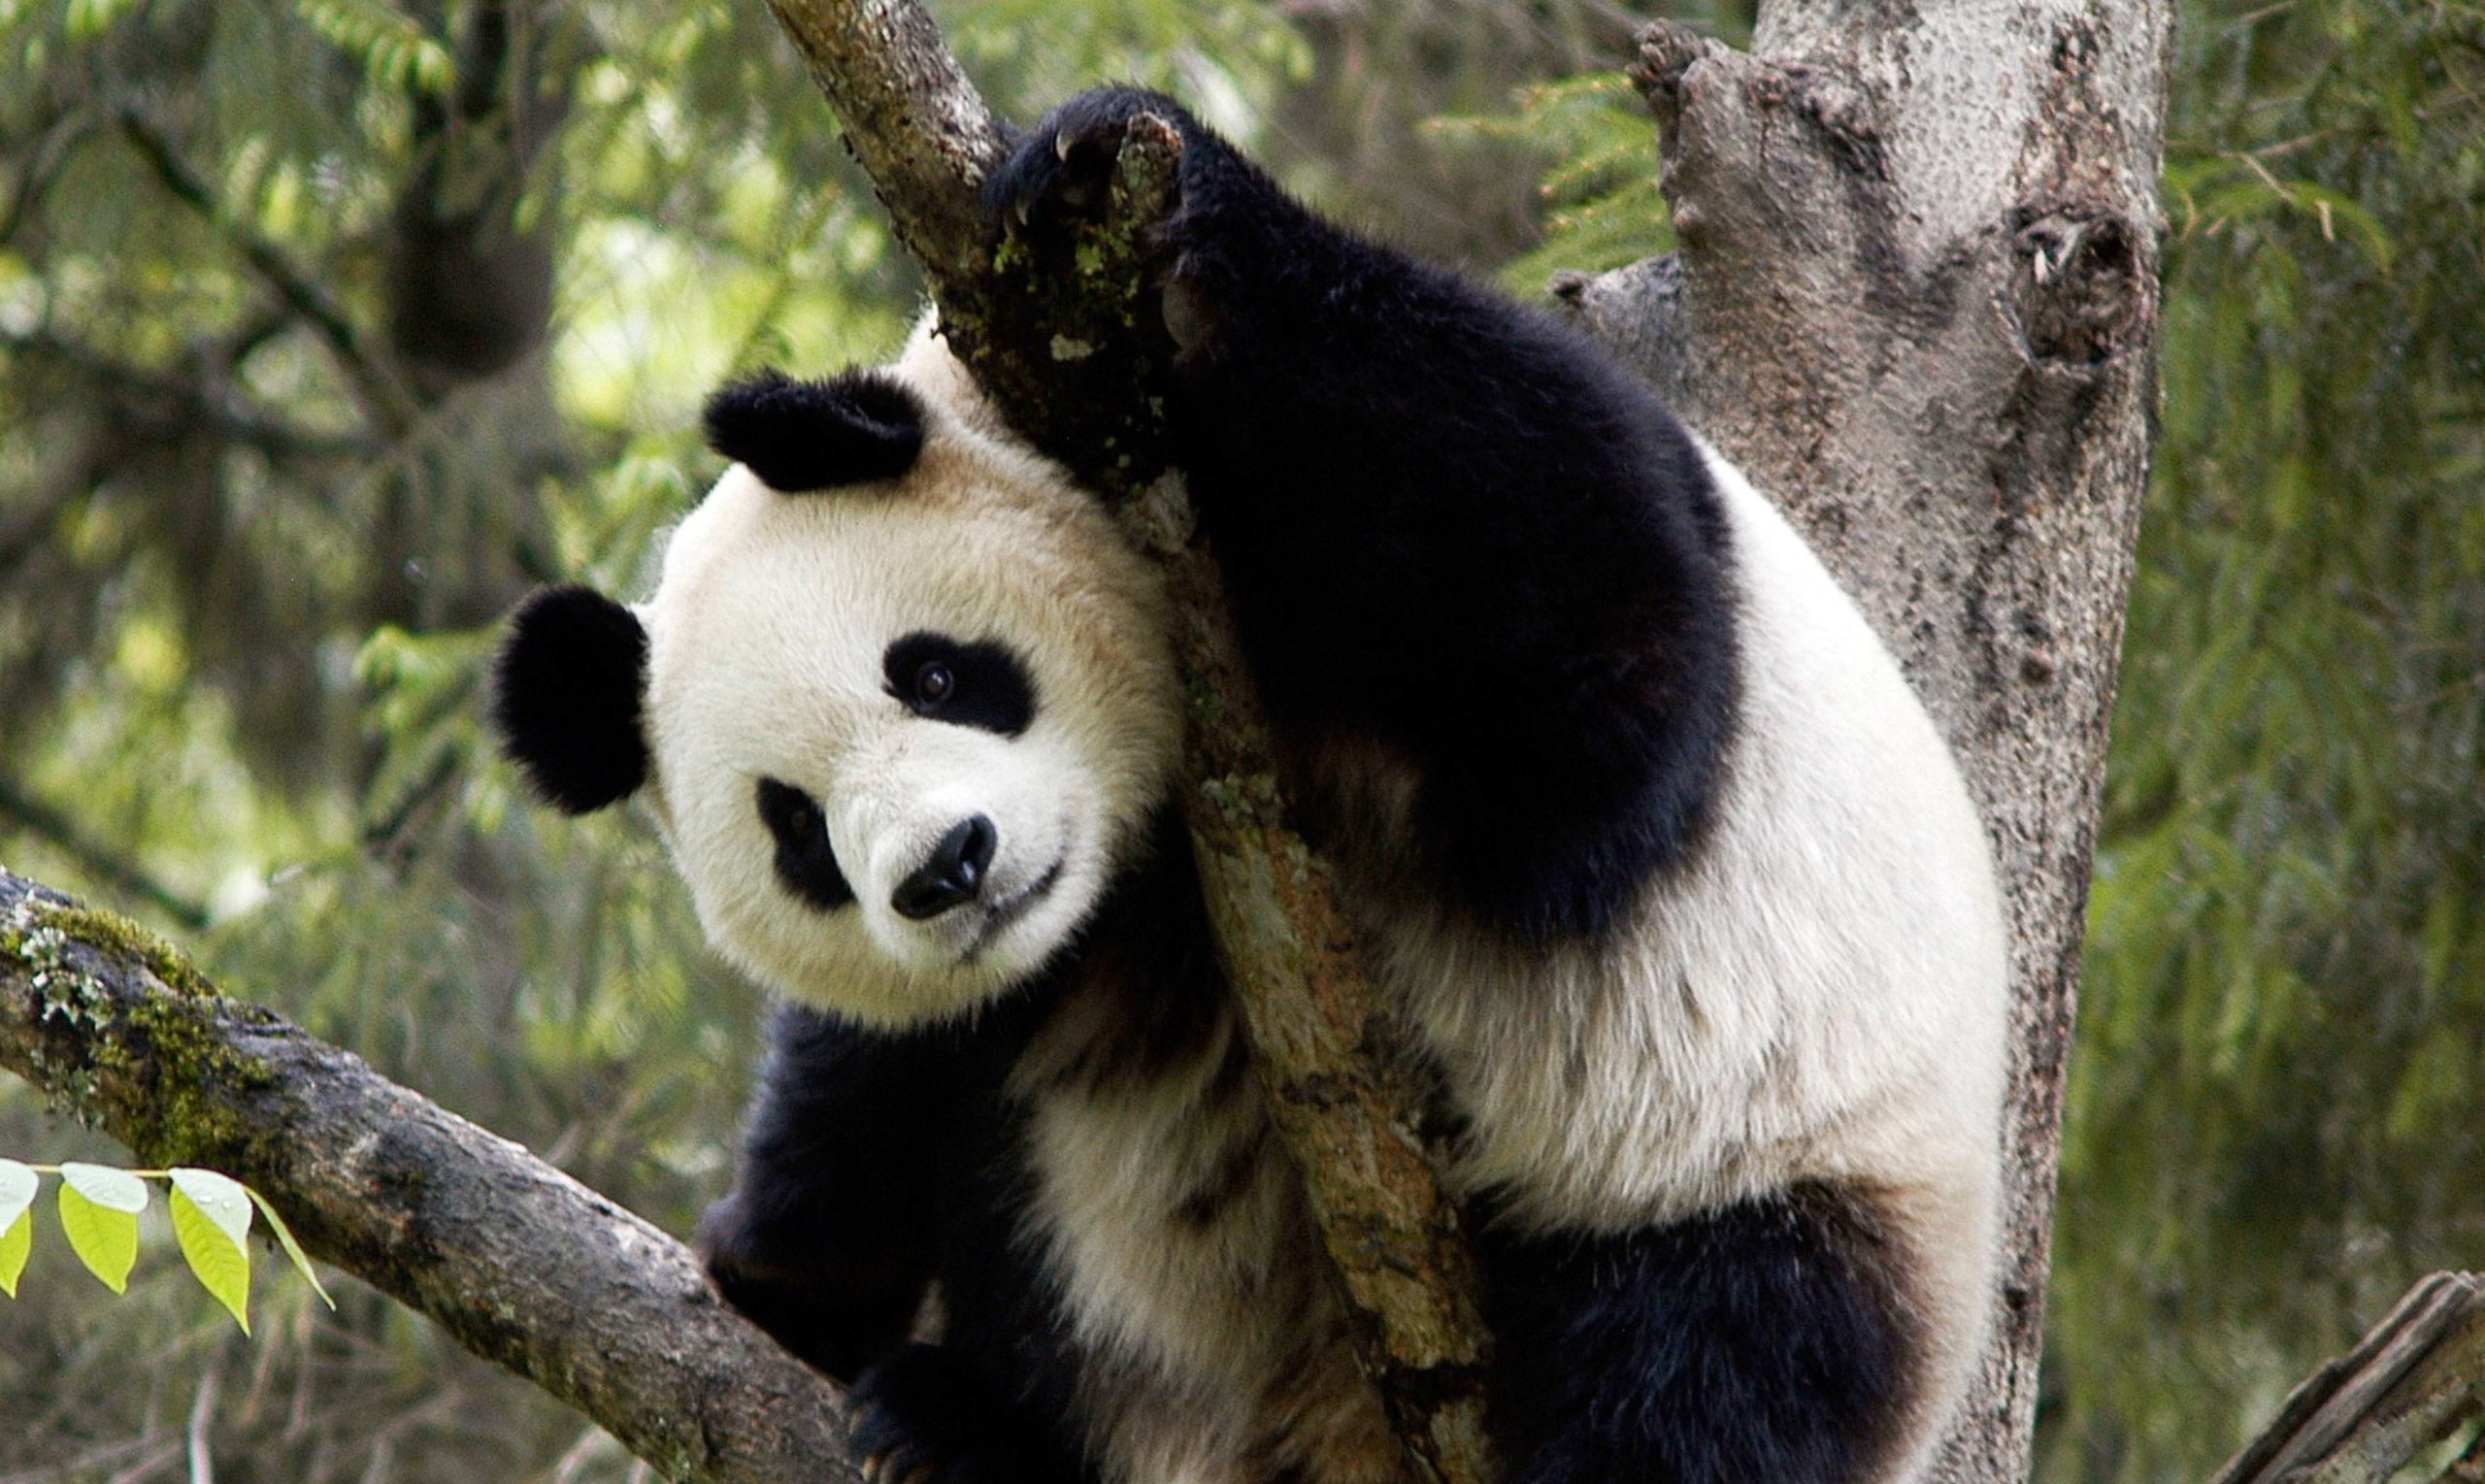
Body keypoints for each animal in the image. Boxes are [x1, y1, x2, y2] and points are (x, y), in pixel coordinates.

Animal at [489, 89, 2017, 1481]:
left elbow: (1598, 684)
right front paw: (779, 1277)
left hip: (1783, 1170)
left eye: (933, 672)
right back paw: (962, 1430)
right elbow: (875, 1071)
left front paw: (1111, 175)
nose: (945, 870)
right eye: (797, 831)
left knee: (1705, 1377)